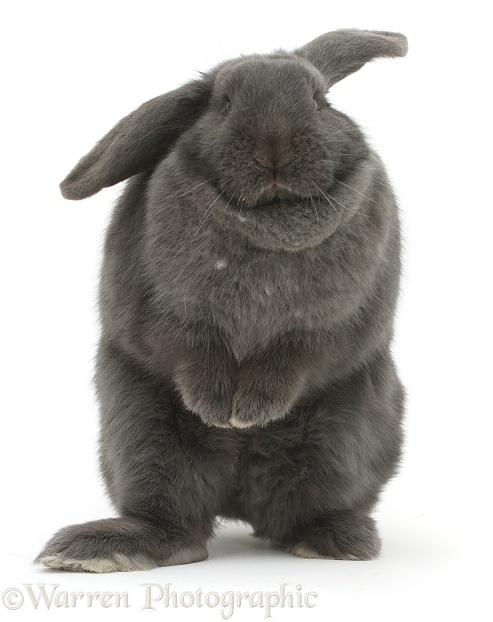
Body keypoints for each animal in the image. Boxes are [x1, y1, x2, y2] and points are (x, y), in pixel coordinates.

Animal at [35, 30, 408, 576]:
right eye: (223, 104)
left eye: (320, 101)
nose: (274, 144)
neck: (269, 221)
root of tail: (238, 498)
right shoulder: (167, 315)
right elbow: (190, 350)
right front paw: (216, 409)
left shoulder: (327, 327)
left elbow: (295, 360)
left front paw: (249, 412)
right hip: (143, 436)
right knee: (179, 527)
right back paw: (97, 549)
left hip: (340, 444)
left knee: (300, 513)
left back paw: (337, 540)